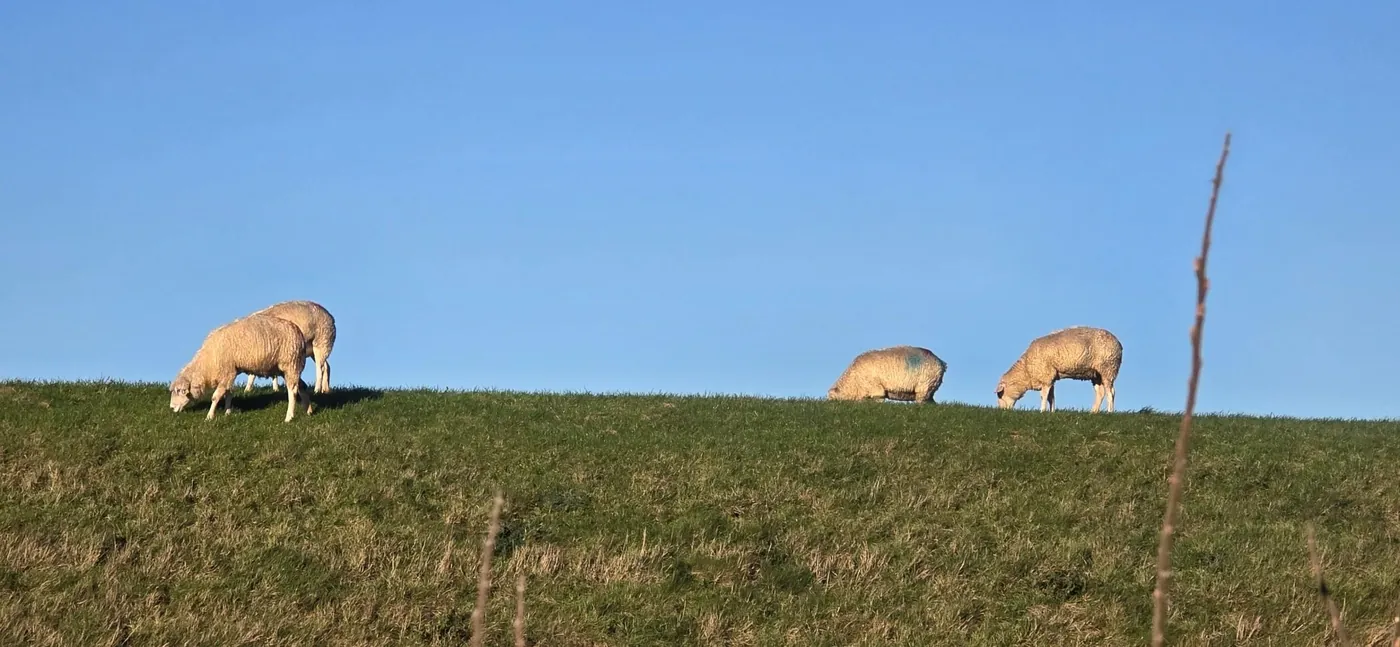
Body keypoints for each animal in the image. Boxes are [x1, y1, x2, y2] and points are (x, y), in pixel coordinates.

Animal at [169, 313, 314, 422]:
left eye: (179, 391)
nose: (171, 408)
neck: (207, 363)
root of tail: (299, 333)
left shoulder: (227, 372)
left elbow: (216, 396)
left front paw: (209, 417)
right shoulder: (230, 373)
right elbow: (228, 393)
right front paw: (227, 412)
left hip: (290, 363)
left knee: (292, 391)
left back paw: (289, 417)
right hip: (290, 367)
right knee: (302, 386)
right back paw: (308, 411)